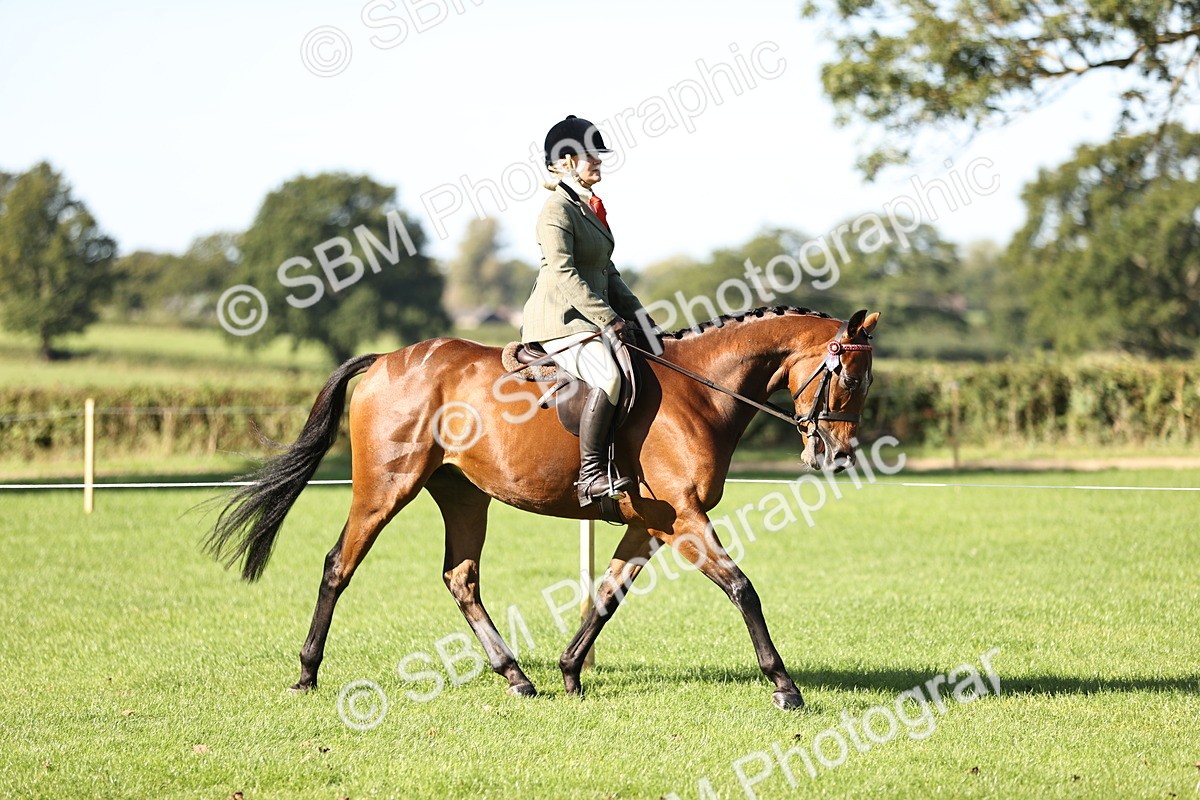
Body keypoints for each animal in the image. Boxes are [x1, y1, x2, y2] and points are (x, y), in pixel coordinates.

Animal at [205, 305, 879, 710]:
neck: (698, 393)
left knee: (461, 578)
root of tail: (387, 359)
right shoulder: (685, 520)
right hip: (385, 487)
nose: (840, 455)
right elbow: (743, 587)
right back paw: (307, 674)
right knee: (337, 567)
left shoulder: (650, 525)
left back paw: (517, 676)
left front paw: (570, 672)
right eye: (848, 380)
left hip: (463, 494)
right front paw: (785, 686)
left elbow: (606, 596)